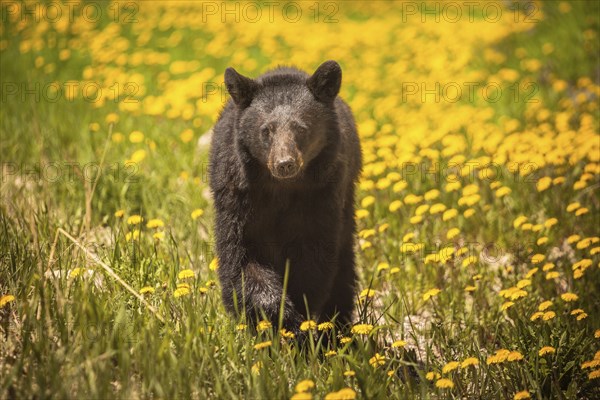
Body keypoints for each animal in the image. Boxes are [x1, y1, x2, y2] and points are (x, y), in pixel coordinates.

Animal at [211, 60, 360, 334]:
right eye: (266, 130)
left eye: (301, 128)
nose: (285, 164)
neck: (281, 188)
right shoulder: (237, 196)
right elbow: (240, 257)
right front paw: (277, 313)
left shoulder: (322, 195)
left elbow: (314, 257)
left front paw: (298, 319)